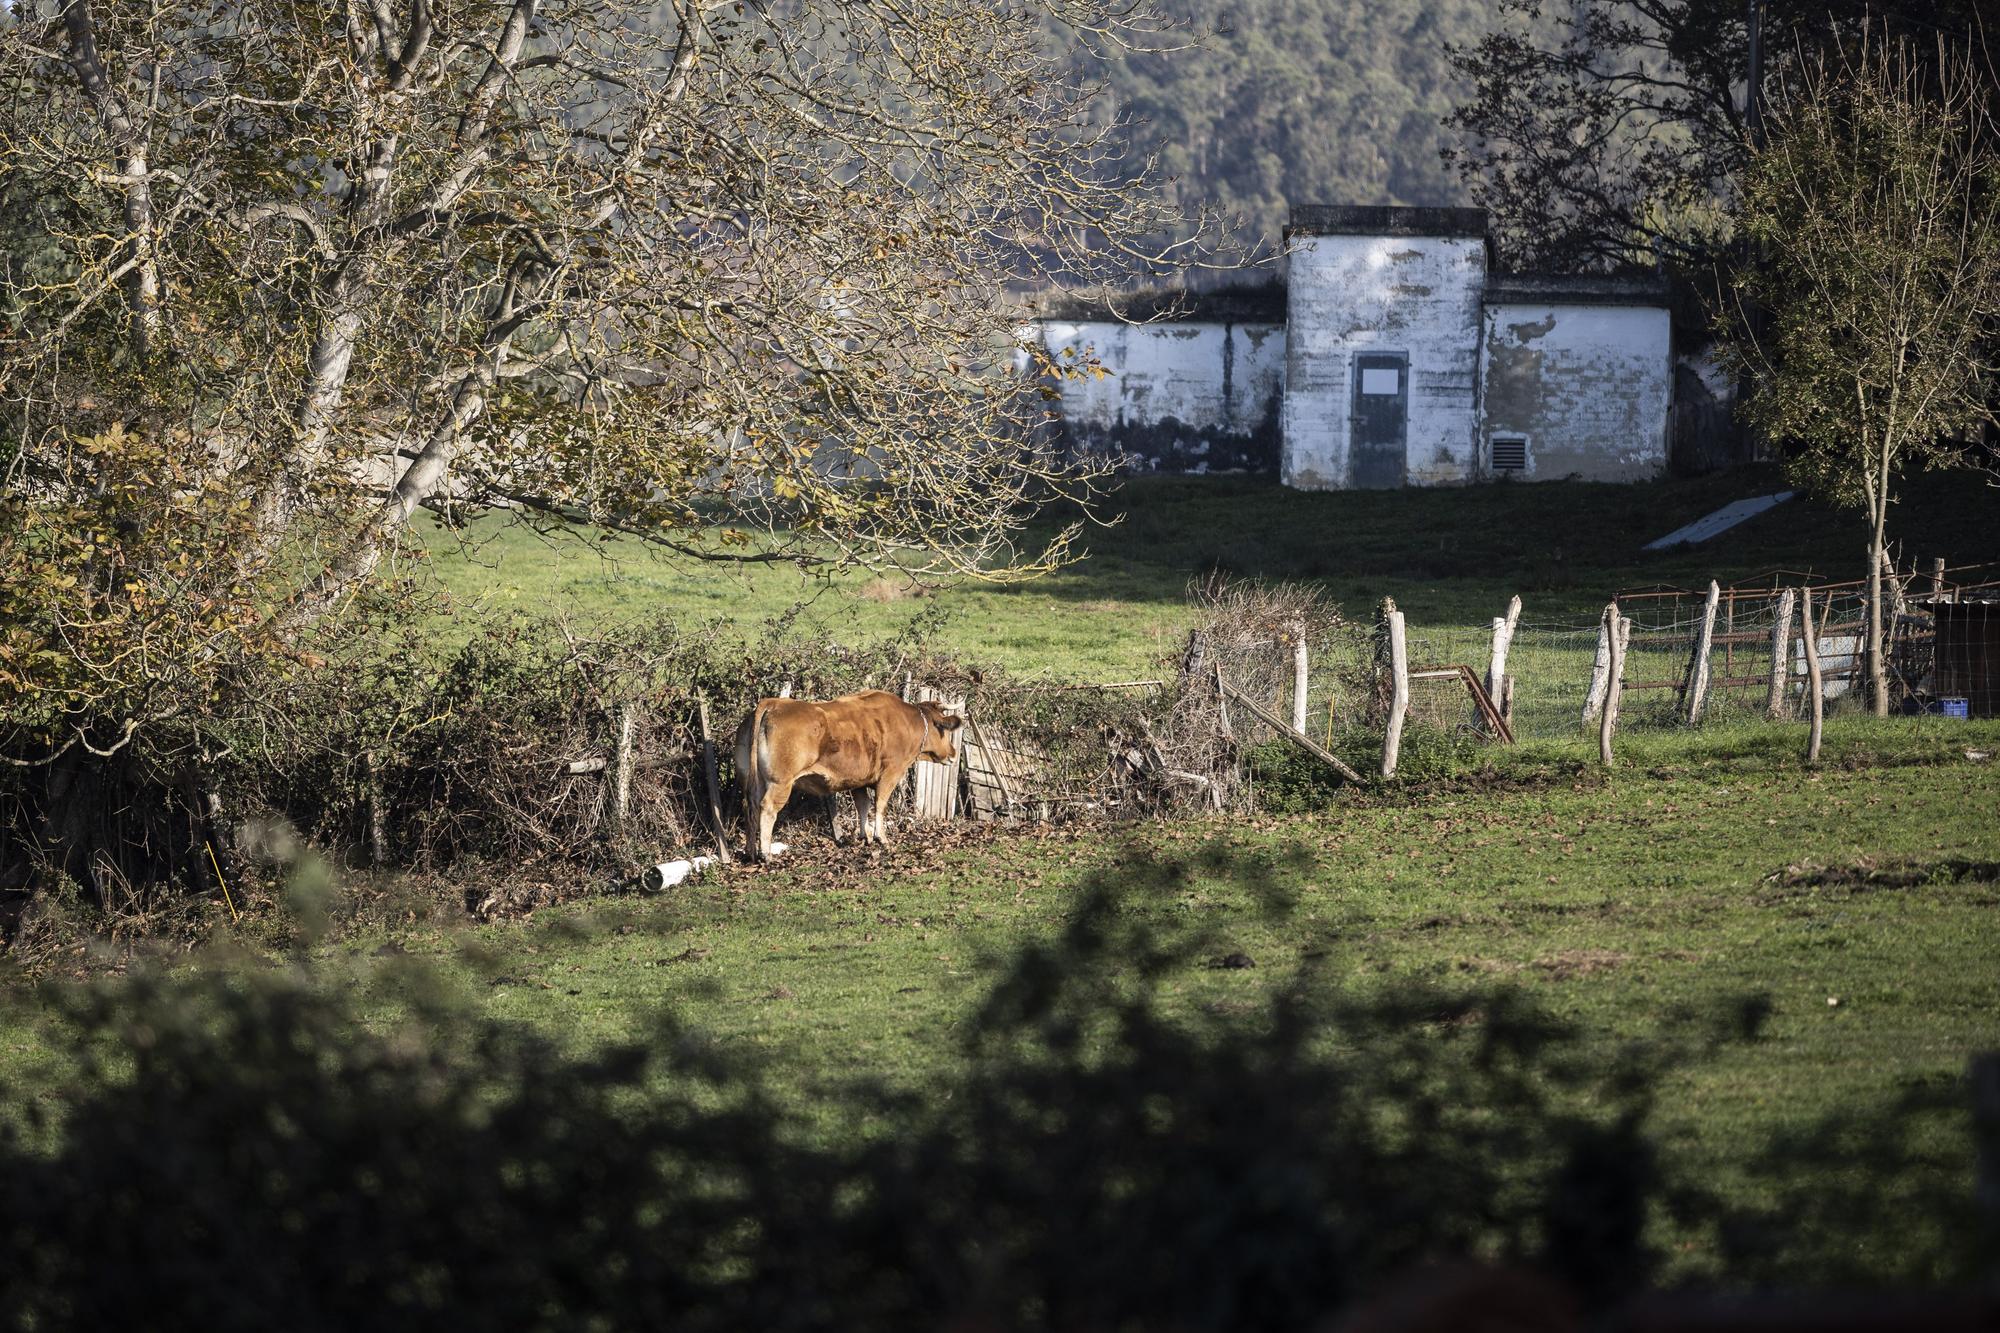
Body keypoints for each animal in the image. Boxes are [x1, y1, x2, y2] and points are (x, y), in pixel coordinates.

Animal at [740, 688, 964, 856]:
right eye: (944, 730)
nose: (954, 753)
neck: (907, 721)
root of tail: (773, 703)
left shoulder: (859, 780)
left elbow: (862, 805)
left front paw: (865, 836)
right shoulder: (891, 773)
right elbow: (880, 805)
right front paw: (881, 838)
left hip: (755, 780)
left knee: (751, 805)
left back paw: (750, 852)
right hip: (780, 782)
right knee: (767, 808)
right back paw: (766, 853)